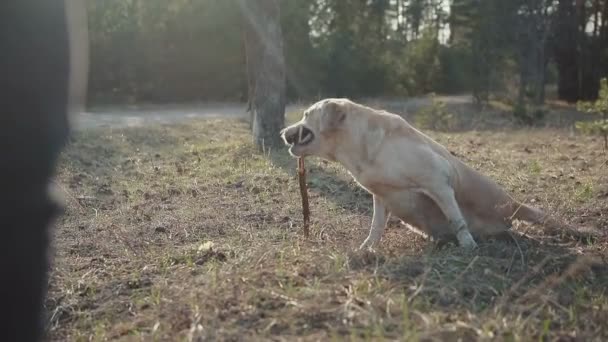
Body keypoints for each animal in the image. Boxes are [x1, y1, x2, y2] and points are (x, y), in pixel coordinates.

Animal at [282, 97, 584, 250]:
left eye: (306, 114)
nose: (283, 132)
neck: (360, 147)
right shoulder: (380, 197)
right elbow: (376, 227)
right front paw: (366, 249)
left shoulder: (438, 180)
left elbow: (455, 219)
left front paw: (467, 246)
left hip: (516, 206)